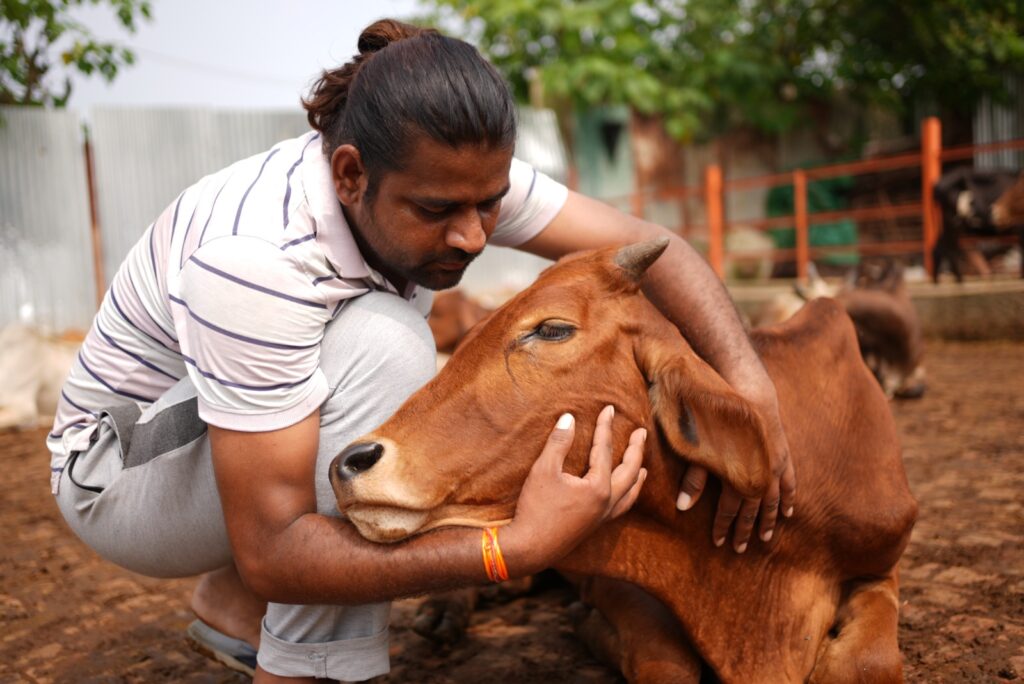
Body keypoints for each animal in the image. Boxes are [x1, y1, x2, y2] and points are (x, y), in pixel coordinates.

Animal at [329, 241, 921, 684]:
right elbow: (668, 664)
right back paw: (444, 611)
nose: (351, 461)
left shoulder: (883, 562)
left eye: (552, 329)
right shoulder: (616, 579)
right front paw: (588, 626)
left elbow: (869, 663)